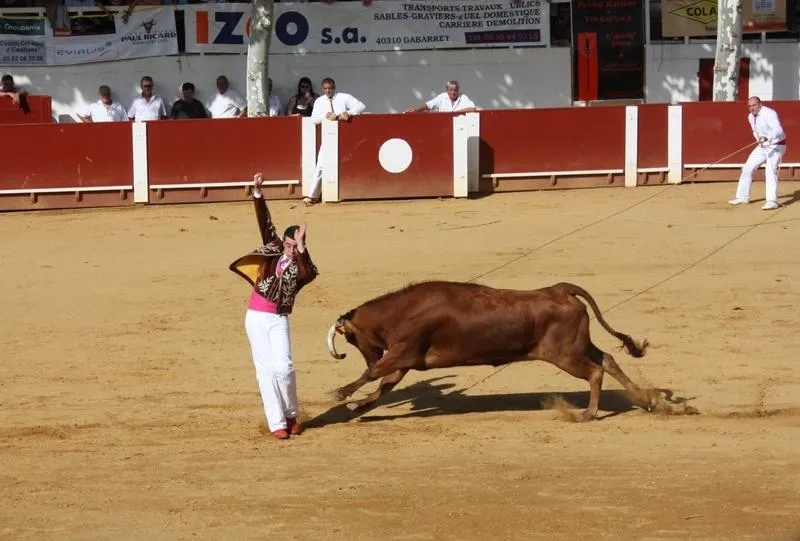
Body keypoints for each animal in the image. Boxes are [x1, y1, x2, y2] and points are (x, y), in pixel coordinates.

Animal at [326, 280, 656, 420]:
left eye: (351, 339)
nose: (369, 352)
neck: (401, 310)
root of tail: (560, 289)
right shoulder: (403, 360)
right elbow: (383, 385)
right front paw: (360, 406)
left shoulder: (402, 352)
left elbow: (373, 373)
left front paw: (340, 394)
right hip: (578, 345)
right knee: (608, 359)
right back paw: (647, 401)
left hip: (565, 355)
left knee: (595, 371)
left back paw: (589, 413)